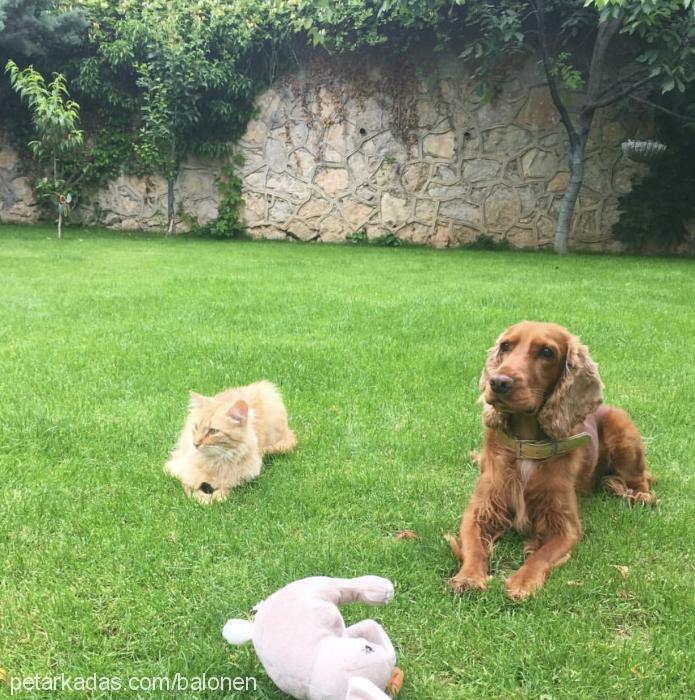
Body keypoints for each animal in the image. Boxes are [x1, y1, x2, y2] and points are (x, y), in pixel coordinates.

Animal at [165, 382, 296, 504]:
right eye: (196, 427)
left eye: (213, 431)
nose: (195, 443)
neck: (218, 460)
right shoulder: (177, 468)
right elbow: (193, 491)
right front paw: (205, 499)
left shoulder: (240, 480)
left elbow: (222, 494)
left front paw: (213, 498)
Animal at [448, 322, 656, 600]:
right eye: (505, 346)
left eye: (547, 352)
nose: (498, 382)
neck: (527, 447)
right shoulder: (480, 509)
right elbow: (473, 547)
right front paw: (469, 577)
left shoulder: (566, 525)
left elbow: (542, 555)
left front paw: (523, 581)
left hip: (624, 431)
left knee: (641, 479)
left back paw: (640, 496)